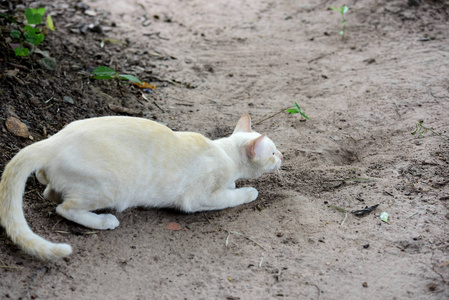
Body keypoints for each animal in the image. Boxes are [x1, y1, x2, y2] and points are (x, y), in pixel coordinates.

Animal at [0, 113, 280, 258]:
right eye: (274, 152)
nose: (283, 156)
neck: (224, 152)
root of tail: (54, 140)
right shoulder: (196, 199)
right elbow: (232, 196)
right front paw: (248, 191)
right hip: (113, 188)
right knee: (65, 208)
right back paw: (104, 221)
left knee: (49, 191)